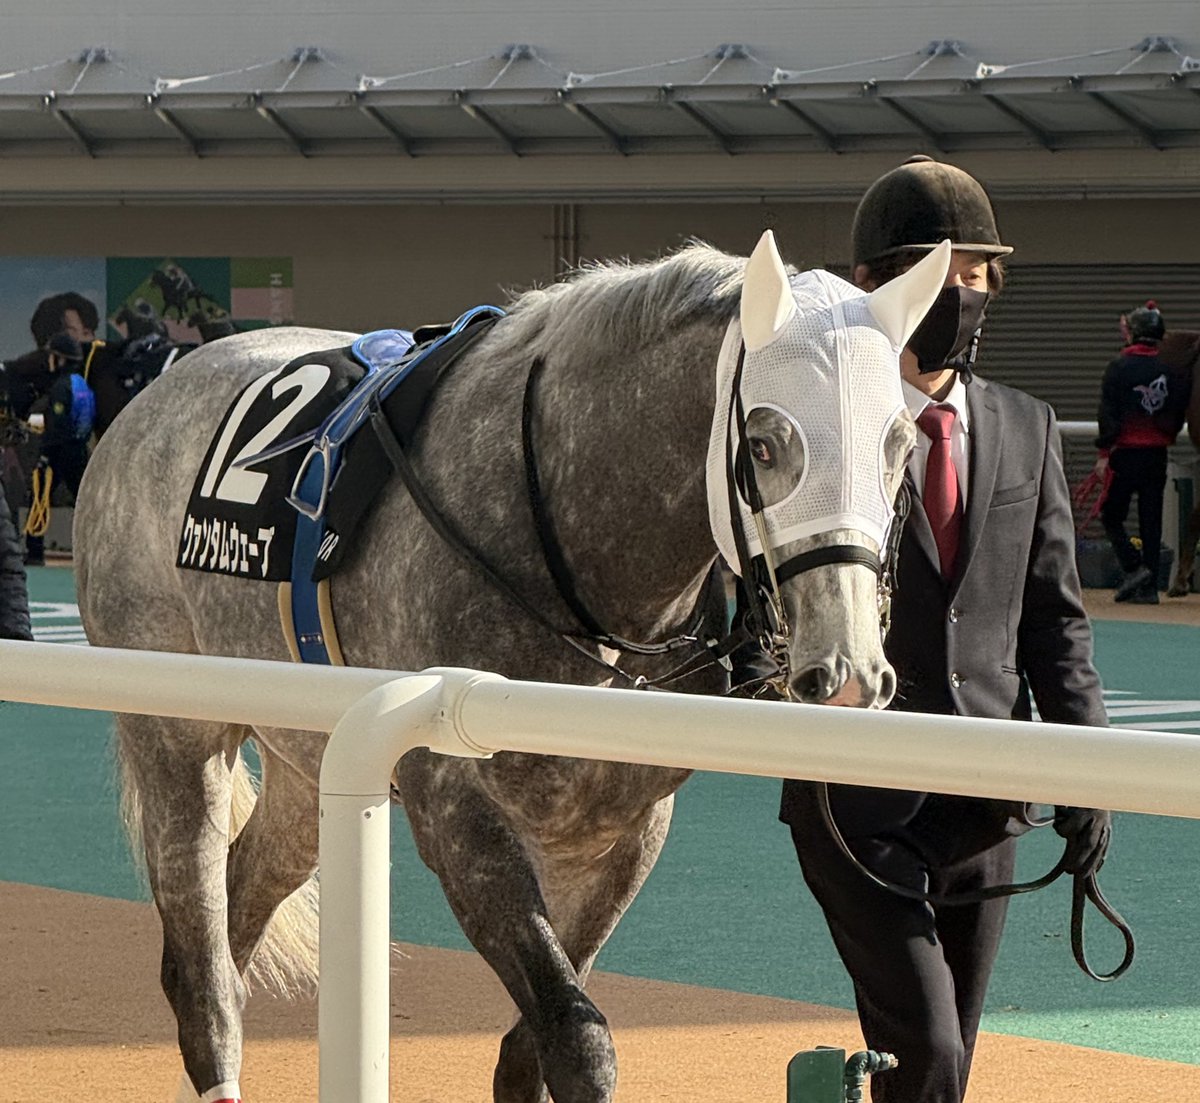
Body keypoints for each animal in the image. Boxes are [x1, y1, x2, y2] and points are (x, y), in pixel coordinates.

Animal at [73, 233, 949, 1103]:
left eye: (900, 443)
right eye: (765, 443)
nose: (849, 669)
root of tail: (153, 396)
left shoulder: (618, 830)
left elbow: (531, 1047)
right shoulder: (453, 806)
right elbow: (575, 1036)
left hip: (307, 755)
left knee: (241, 908)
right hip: (175, 729)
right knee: (202, 965)